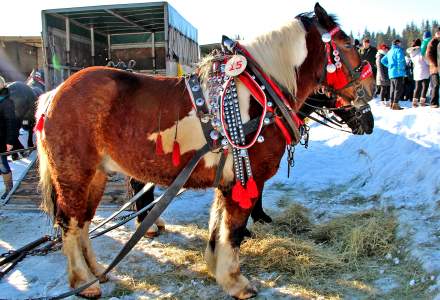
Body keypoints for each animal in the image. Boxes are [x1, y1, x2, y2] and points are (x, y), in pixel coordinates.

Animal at [37, 3, 374, 298]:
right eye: (347, 43)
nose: (370, 90)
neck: (261, 92)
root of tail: (55, 93)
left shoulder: (229, 178)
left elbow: (219, 228)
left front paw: (217, 268)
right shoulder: (247, 179)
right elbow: (234, 230)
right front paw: (236, 282)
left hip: (95, 175)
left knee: (83, 221)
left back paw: (96, 272)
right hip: (74, 174)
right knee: (69, 222)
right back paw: (85, 282)